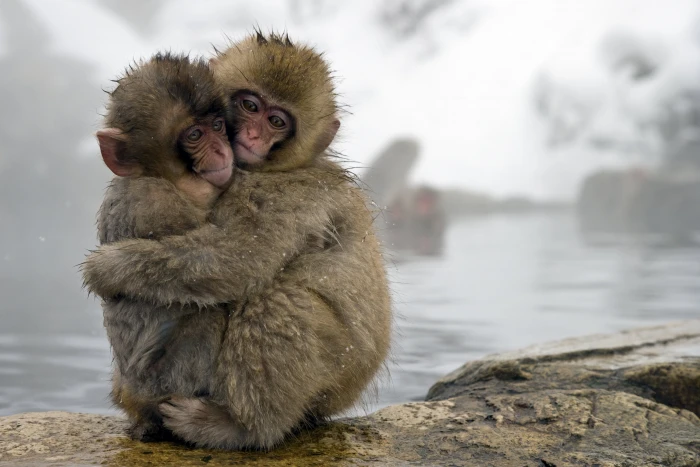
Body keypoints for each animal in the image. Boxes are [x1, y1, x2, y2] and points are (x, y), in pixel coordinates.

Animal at [83, 32, 392, 450]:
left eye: (276, 121)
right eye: (250, 105)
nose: (252, 135)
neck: (283, 167)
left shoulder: (280, 194)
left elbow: (242, 258)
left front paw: (108, 267)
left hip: (339, 369)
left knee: (277, 302)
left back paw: (241, 428)